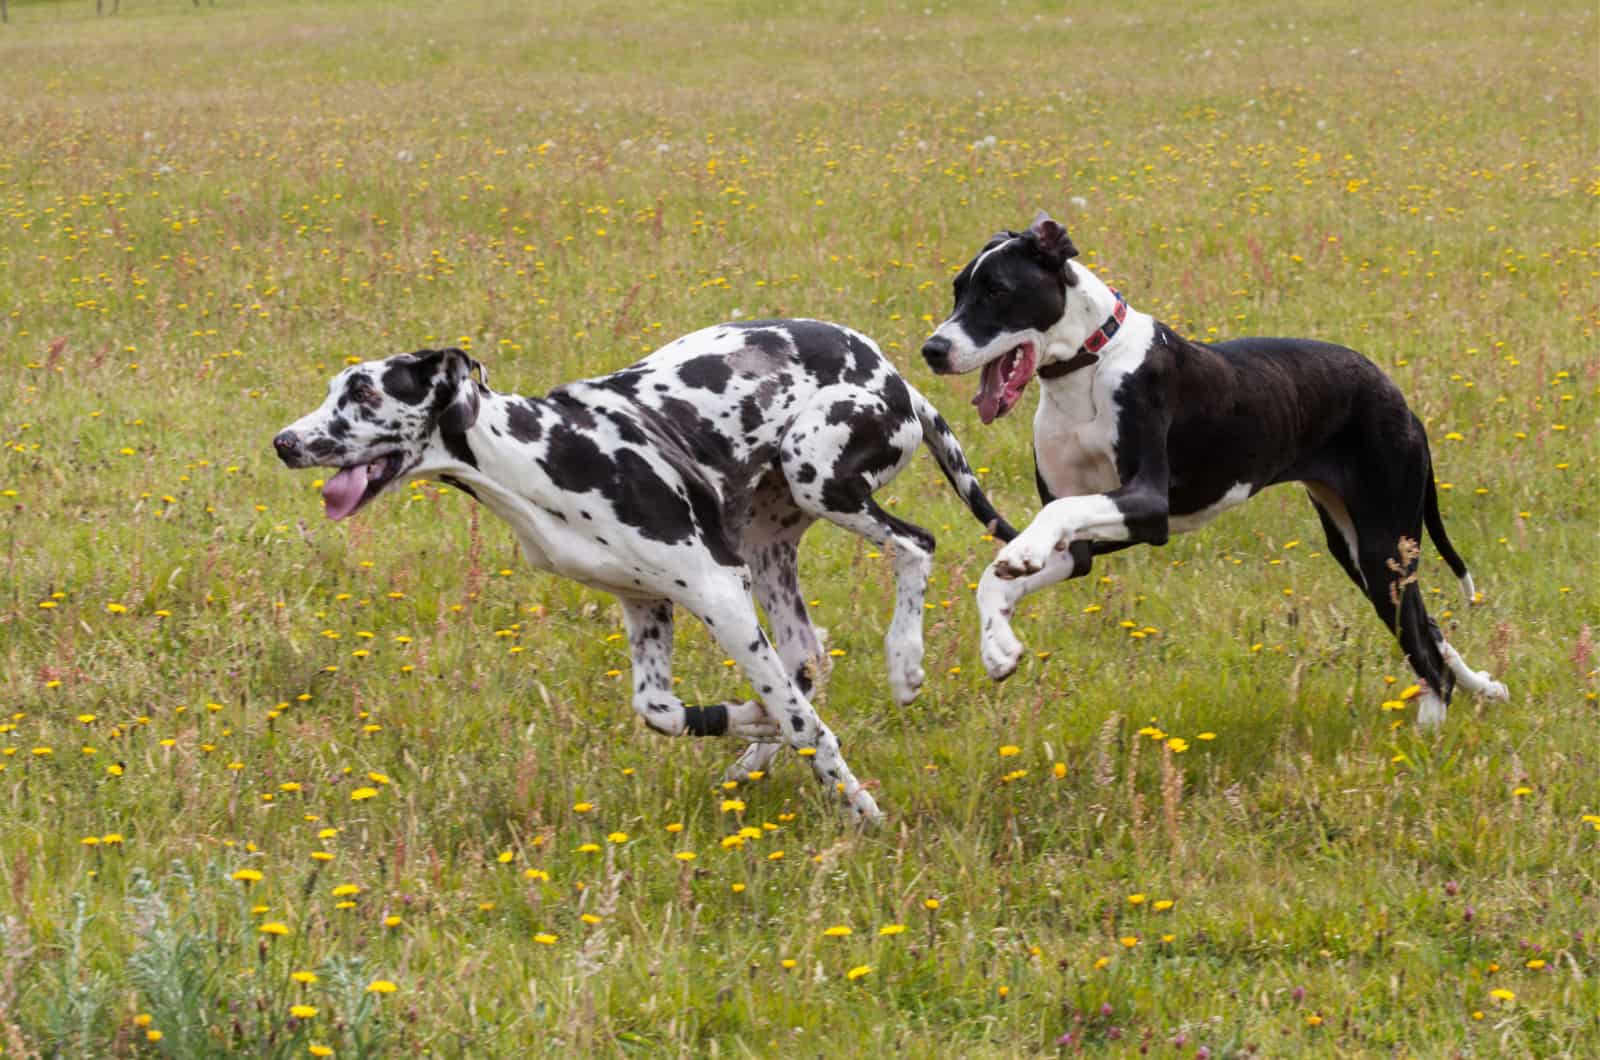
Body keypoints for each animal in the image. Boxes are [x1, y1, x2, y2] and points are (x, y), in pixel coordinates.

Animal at [273, 321, 1011, 819]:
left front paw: (859, 806)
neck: (537, 455)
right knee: (805, 656)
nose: (283, 442)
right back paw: (754, 758)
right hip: (771, 542)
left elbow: (808, 727)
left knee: (914, 547)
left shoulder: (720, 592)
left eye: (365, 392)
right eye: (335, 388)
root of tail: (896, 374)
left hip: (816, 477)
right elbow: (663, 710)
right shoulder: (646, 603)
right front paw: (752, 722)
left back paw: (904, 661)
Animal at [928, 216, 1510, 730]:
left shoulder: (1147, 505)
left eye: (997, 291)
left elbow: (1052, 517)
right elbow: (998, 572)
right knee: (1427, 627)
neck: (1090, 364)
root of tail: (1397, 396)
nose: (932, 349)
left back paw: (1428, 735)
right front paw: (998, 646)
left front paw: (1021, 551)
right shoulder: (1084, 546)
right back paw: (1481, 686)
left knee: (1426, 652)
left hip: (1384, 544)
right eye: (958, 290)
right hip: (1361, 549)